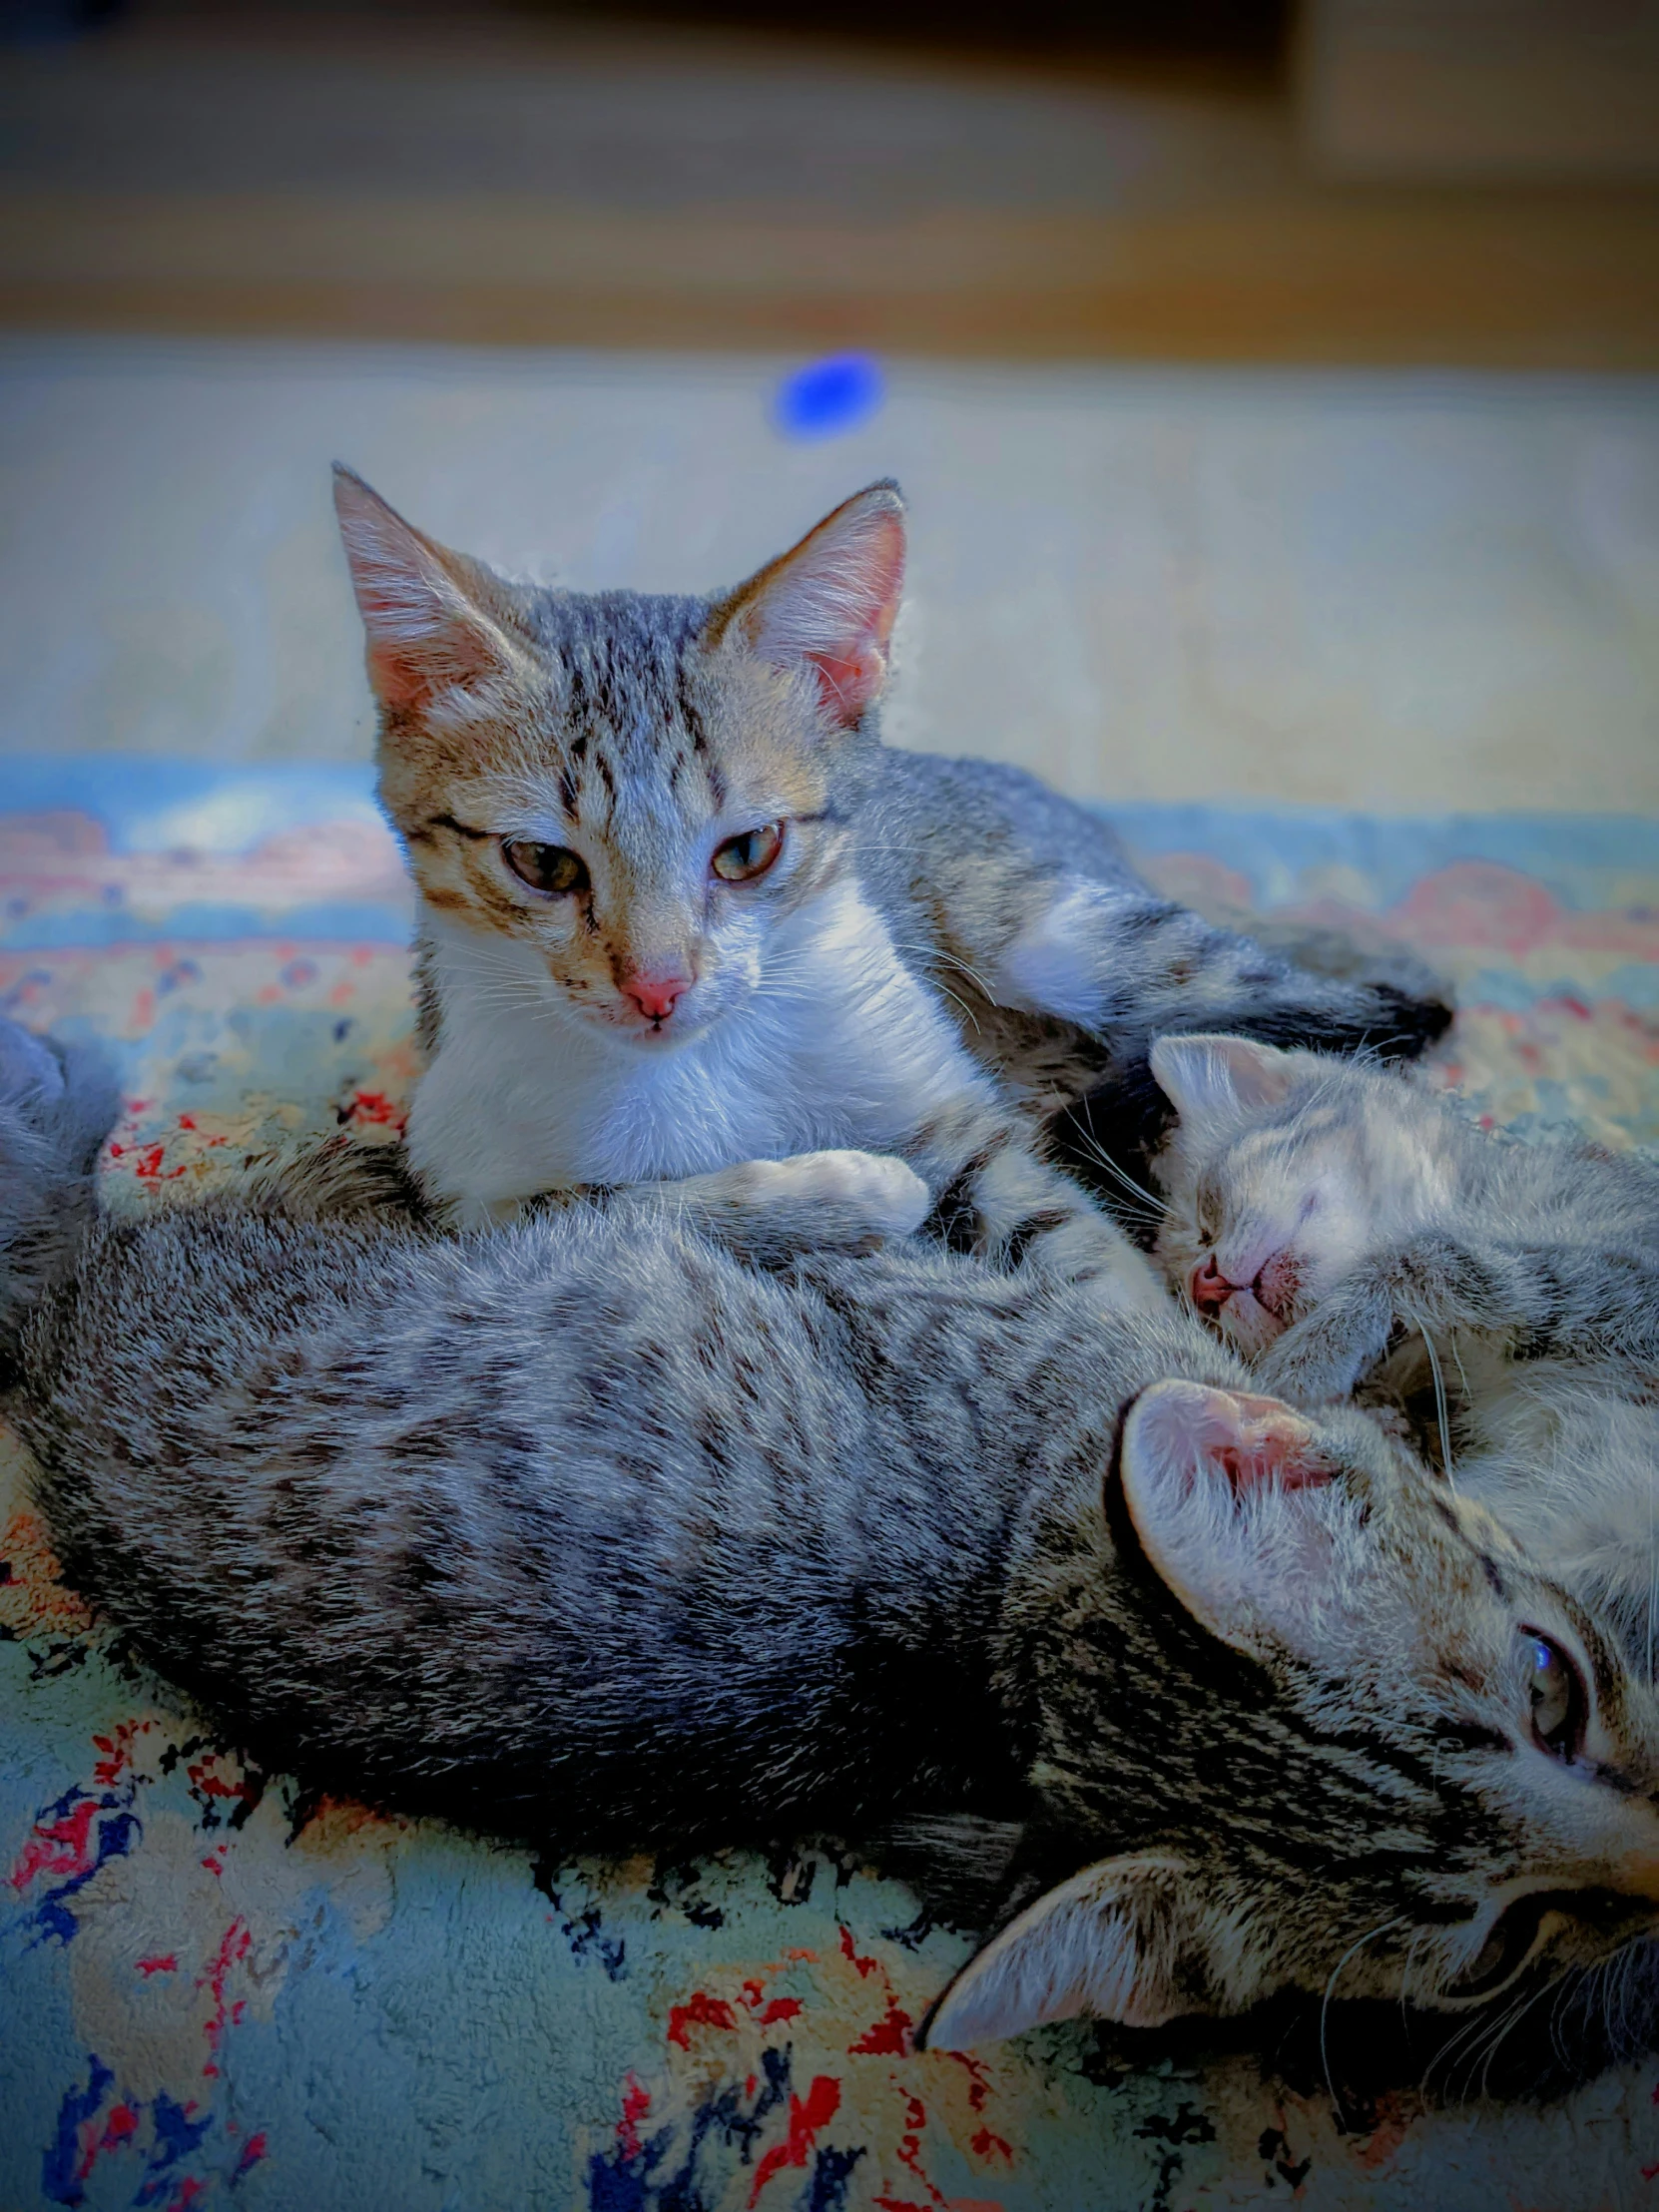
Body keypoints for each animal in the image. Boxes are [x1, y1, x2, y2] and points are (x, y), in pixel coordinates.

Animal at [331, 475, 1450, 1292]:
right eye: (542, 863)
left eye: (747, 850)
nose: (657, 987)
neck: (699, 1066)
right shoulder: (462, 1190)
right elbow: (615, 1204)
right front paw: (847, 1191)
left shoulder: (950, 1109)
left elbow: (1078, 1250)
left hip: (1060, 930)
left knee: (1371, 1020)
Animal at [1159, 1043, 1659, 1663]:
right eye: (1190, 1306)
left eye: (1206, 1215)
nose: (1202, 1285)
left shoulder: (1631, 1283)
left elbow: (1427, 1255)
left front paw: (1310, 1359)